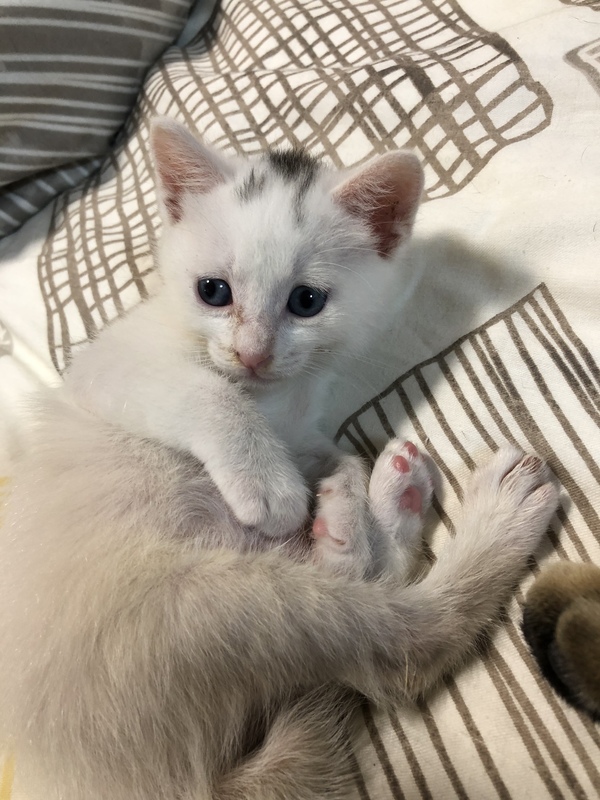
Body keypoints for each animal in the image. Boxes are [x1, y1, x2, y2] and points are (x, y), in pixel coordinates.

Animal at [0, 118, 559, 800]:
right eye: (213, 292)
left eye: (307, 301)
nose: (252, 354)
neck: (274, 401)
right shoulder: (109, 370)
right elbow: (207, 393)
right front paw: (274, 489)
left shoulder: (303, 428)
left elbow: (338, 456)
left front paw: (345, 512)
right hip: (206, 609)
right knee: (404, 647)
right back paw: (488, 513)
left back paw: (389, 504)